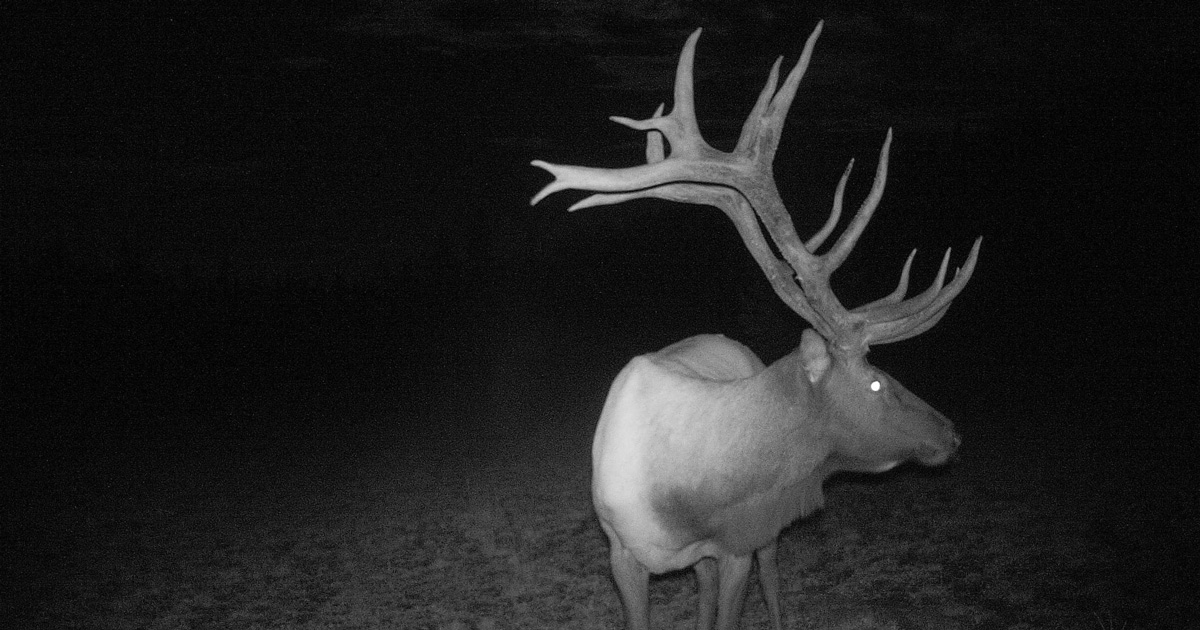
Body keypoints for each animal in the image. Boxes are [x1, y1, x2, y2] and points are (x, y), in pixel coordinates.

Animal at [530, 21, 980, 630]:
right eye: (876, 382)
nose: (951, 433)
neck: (685, 503)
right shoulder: (621, 553)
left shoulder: (740, 542)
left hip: (759, 540)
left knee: (769, 577)